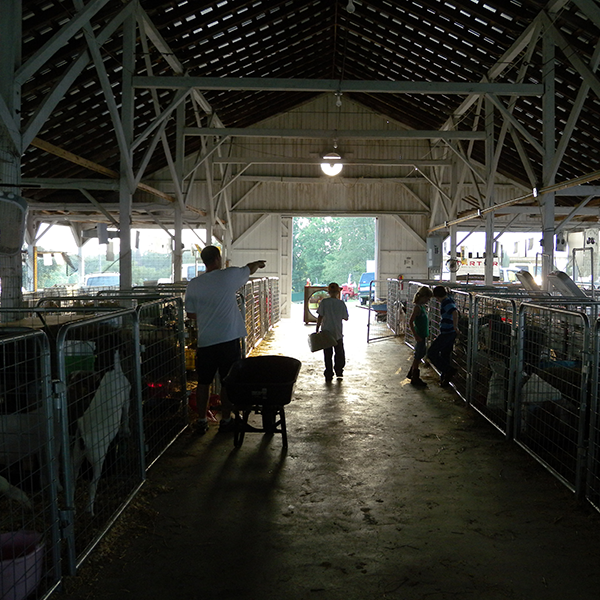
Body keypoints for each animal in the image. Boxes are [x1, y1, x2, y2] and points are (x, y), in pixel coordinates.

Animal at [72, 352, 130, 516]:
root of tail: (84, 438)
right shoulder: (127, 395)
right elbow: (126, 416)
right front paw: (126, 432)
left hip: (76, 455)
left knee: (72, 481)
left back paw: (72, 509)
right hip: (98, 457)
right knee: (93, 483)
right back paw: (89, 510)